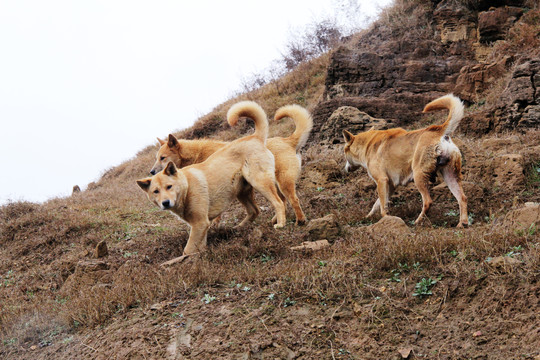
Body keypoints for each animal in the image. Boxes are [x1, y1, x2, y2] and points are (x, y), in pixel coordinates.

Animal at [138, 101, 286, 258]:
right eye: (155, 191)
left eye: (162, 158)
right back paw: (238, 229)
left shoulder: (200, 223)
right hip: (242, 191)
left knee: (279, 202)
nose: (151, 171)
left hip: (260, 182)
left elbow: (187, 250)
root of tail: (255, 137)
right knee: (256, 210)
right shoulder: (200, 226)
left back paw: (280, 223)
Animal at [150, 102, 314, 225]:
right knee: (282, 201)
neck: (197, 154)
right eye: (156, 157)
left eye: (162, 158)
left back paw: (299, 221)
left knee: (291, 200)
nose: (151, 172)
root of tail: (289, 140)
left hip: (279, 182)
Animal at [344, 94, 466, 226]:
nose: (345, 169)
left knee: (428, 201)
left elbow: (382, 207)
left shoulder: (382, 180)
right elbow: (377, 204)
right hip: (450, 176)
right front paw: (368, 216)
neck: (368, 145)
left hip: (419, 176)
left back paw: (417, 222)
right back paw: (462, 224)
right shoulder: (390, 185)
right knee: (462, 198)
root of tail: (438, 131)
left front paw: (387, 219)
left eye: (344, 152)